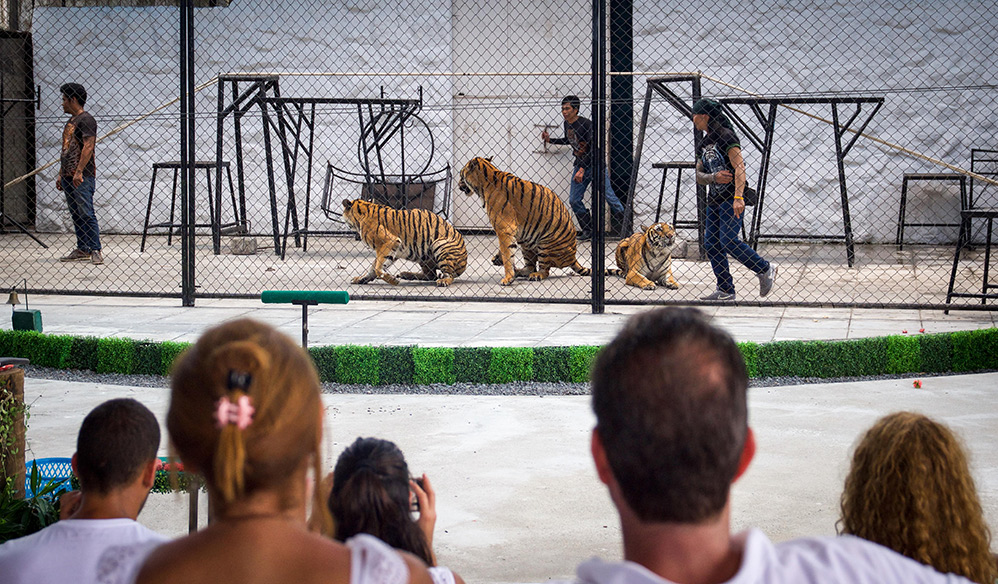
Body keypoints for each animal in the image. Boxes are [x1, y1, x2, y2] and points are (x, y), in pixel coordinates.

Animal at [460, 154, 592, 284]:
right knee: (530, 267)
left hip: (545, 243)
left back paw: (535, 275)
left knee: (544, 270)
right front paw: (498, 259)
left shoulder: (504, 229)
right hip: (526, 241)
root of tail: (573, 257)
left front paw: (508, 278)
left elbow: (507, 254)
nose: (458, 184)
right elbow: (507, 251)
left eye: (461, 175)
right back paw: (518, 271)